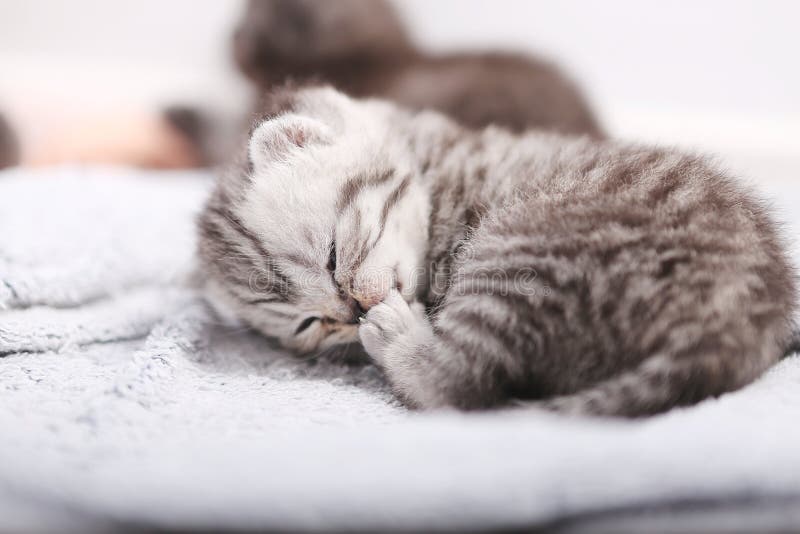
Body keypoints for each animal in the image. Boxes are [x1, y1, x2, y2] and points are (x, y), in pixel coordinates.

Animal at [197, 87, 796, 418]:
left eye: (332, 255)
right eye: (310, 325)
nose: (353, 312)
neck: (435, 165)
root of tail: (741, 312)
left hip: (515, 250)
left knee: (458, 386)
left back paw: (394, 334)